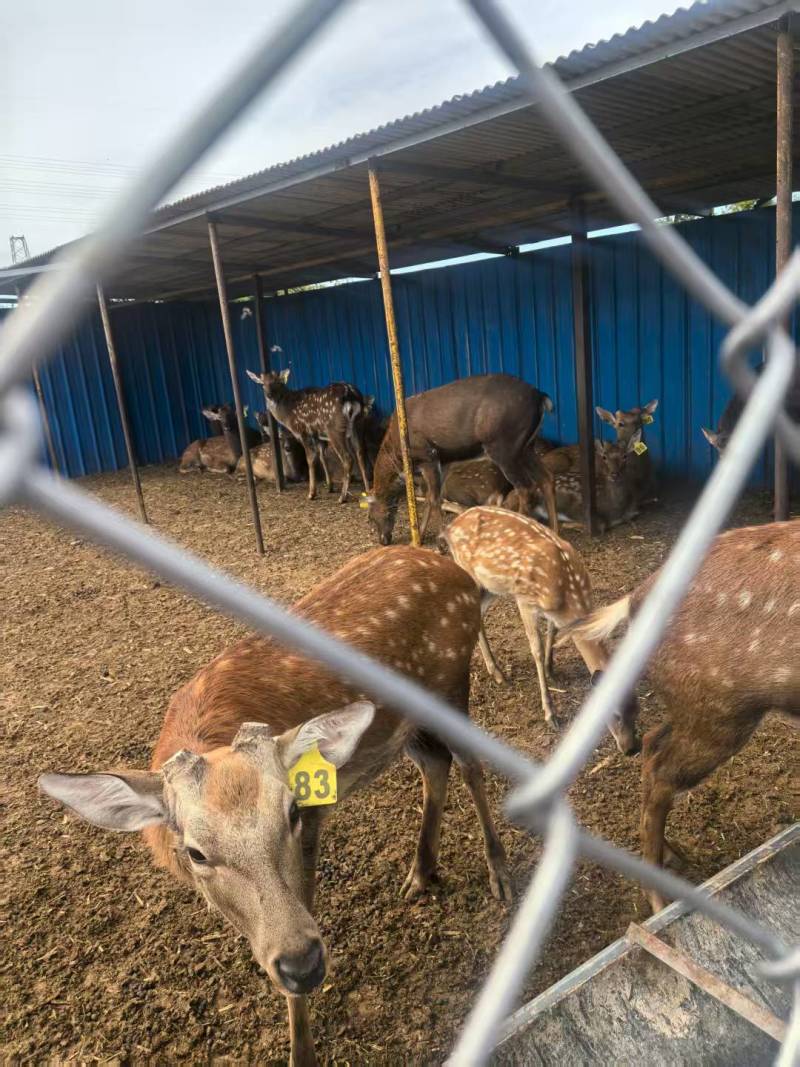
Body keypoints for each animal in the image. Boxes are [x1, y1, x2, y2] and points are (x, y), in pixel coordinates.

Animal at [38, 545, 511, 1067]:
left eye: (293, 813)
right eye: (196, 852)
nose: (303, 964)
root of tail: (460, 575)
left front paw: (301, 1050)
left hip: (452, 681)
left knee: (470, 765)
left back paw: (499, 873)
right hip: (405, 724)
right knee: (435, 765)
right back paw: (421, 872)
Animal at [246, 368, 371, 503]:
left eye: (277, 382)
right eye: (262, 384)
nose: (269, 395)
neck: (287, 414)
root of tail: (350, 394)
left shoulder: (303, 431)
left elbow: (310, 459)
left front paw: (311, 493)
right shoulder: (318, 436)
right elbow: (322, 457)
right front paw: (330, 487)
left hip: (335, 429)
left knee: (348, 458)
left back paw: (342, 497)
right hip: (358, 424)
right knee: (360, 452)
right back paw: (368, 490)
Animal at [365, 374, 558, 545]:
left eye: (371, 517)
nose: (383, 540)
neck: (396, 450)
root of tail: (541, 397)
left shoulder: (428, 455)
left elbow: (434, 499)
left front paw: (441, 544)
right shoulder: (445, 461)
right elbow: (431, 498)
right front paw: (418, 538)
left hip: (504, 446)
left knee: (526, 487)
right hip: (527, 446)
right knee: (547, 477)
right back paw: (554, 531)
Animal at [441, 506, 639, 752]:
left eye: (637, 708)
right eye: (614, 714)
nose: (632, 749)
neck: (569, 597)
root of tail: (450, 527)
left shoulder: (552, 613)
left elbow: (552, 633)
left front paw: (551, 670)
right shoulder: (525, 600)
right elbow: (535, 648)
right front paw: (550, 714)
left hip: (492, 587)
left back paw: (495, 672)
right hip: (468, 571)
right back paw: (497, 674)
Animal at [558, 519, 800, 913]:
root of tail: (633, 601)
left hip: (692, 706)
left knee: (652, 744)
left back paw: (671, 859)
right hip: (720, 710)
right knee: (661, 772)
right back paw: (659, 900)